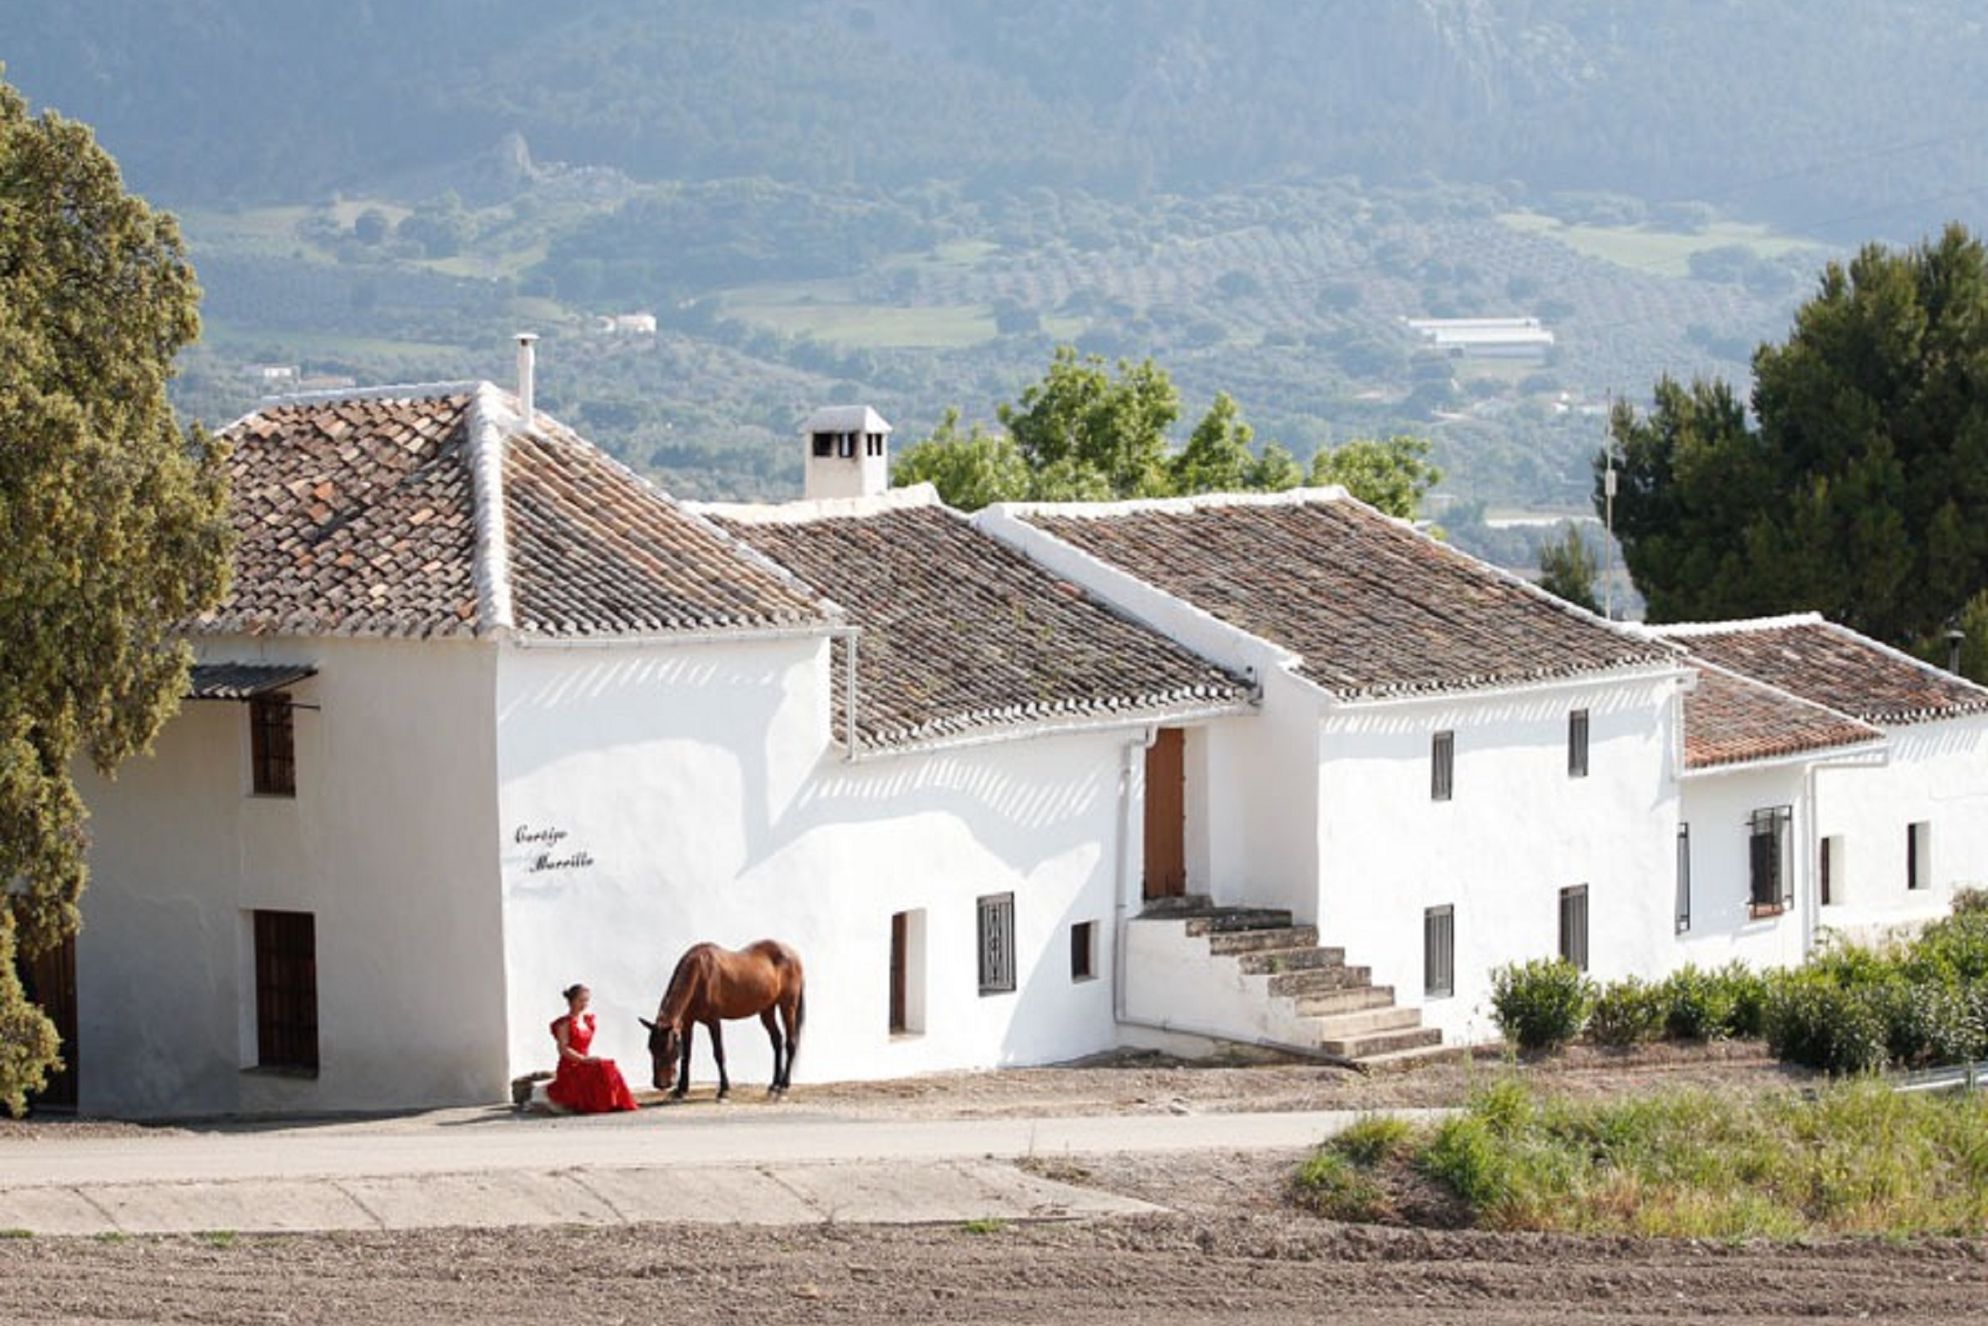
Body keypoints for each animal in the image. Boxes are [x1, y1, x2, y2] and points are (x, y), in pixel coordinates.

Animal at [632, 938, 795, 1105]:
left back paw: (783, 1088)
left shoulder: (713, 1021)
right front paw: (680, 1091)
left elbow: (719, 1054)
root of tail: (790, 952)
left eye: (667, 1049)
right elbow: (686, 1055)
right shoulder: (688, 1023)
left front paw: (724, 1091)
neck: (700, 973)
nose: (660, 1084)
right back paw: (774, 1086)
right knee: (777, 1041)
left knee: (790, 1043)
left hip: (788, 1006)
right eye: (650, 1048)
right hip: (767, 1010)